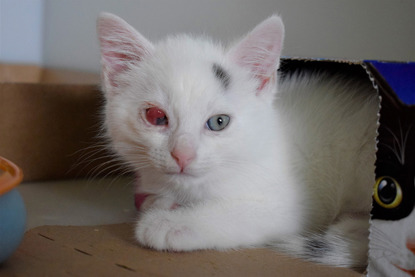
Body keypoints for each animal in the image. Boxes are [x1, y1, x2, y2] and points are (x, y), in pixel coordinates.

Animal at [97, 11, 380, 268]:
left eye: (219, 122)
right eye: (156, 117)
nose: (183, 154)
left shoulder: (295, 204)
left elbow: (238, 211)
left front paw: (171, 223)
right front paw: (160, 203)